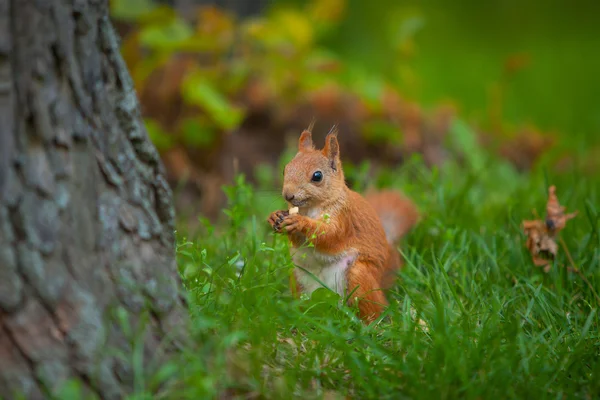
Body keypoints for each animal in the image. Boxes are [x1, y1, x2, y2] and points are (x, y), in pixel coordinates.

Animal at [268, 126, 418, 322]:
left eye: (317, 176)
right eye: (285, 170)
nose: (288, 195)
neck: (311, 208)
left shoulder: (344, 218)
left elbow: (329, 235)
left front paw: (300, 222)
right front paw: (275, 216)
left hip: (359, 277)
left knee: (374, 308)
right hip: (296, 277)